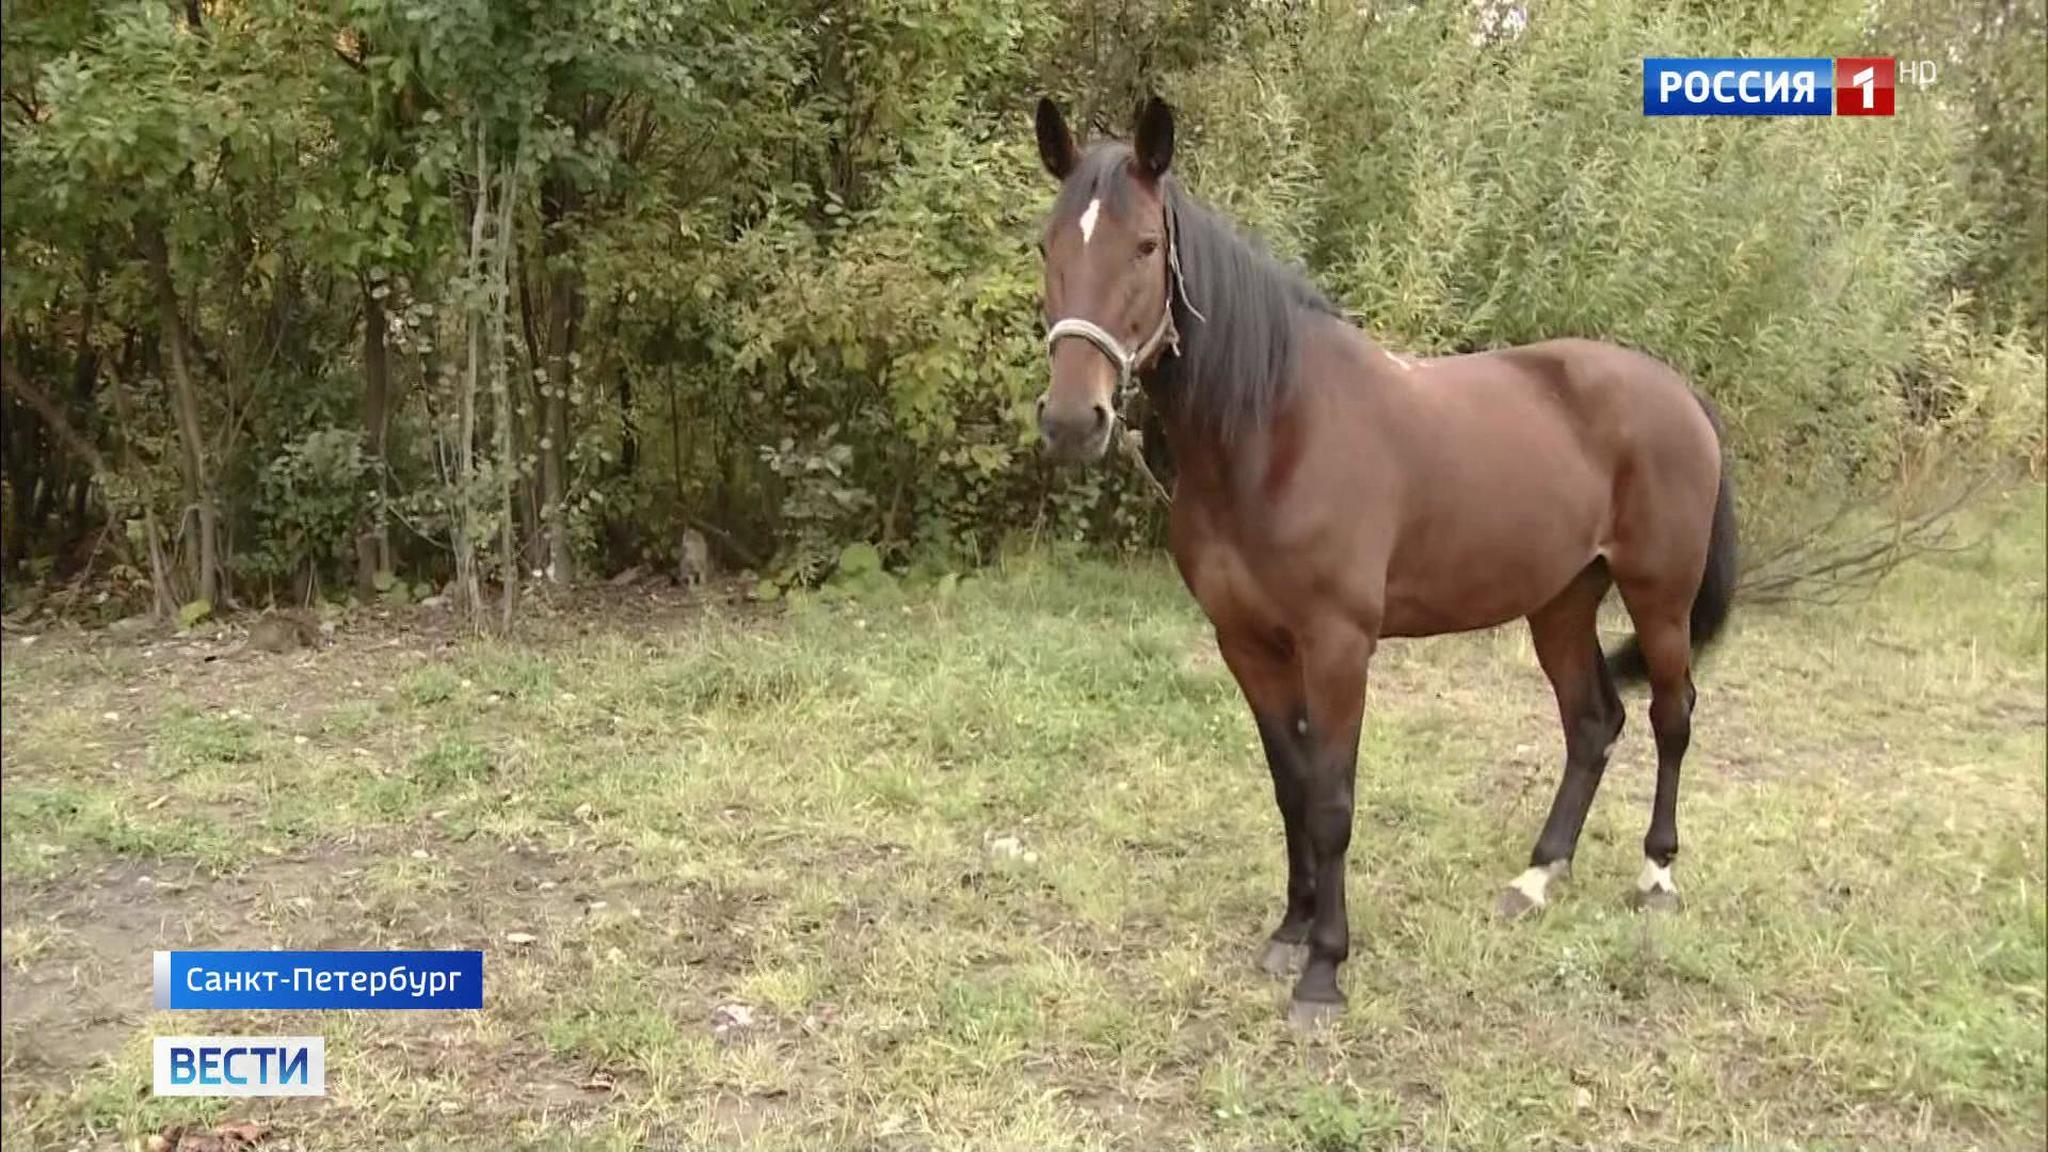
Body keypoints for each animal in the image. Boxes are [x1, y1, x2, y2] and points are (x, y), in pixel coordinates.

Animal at [1028, 96, 1738, 1024]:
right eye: (1047, 246)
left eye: (1146, 245)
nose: (1073, 420)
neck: (1276, 432)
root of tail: (1679, 393)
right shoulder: (1246, 642)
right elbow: (1290, 784)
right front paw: (1290, 930)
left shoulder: (1337, 646)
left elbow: (1332, 799)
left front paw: (1324, 969)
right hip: (1560, 599)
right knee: (1593, 723)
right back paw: (1536, 878)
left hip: (1659, 594)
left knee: (1671, 715)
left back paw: (1655, 875)